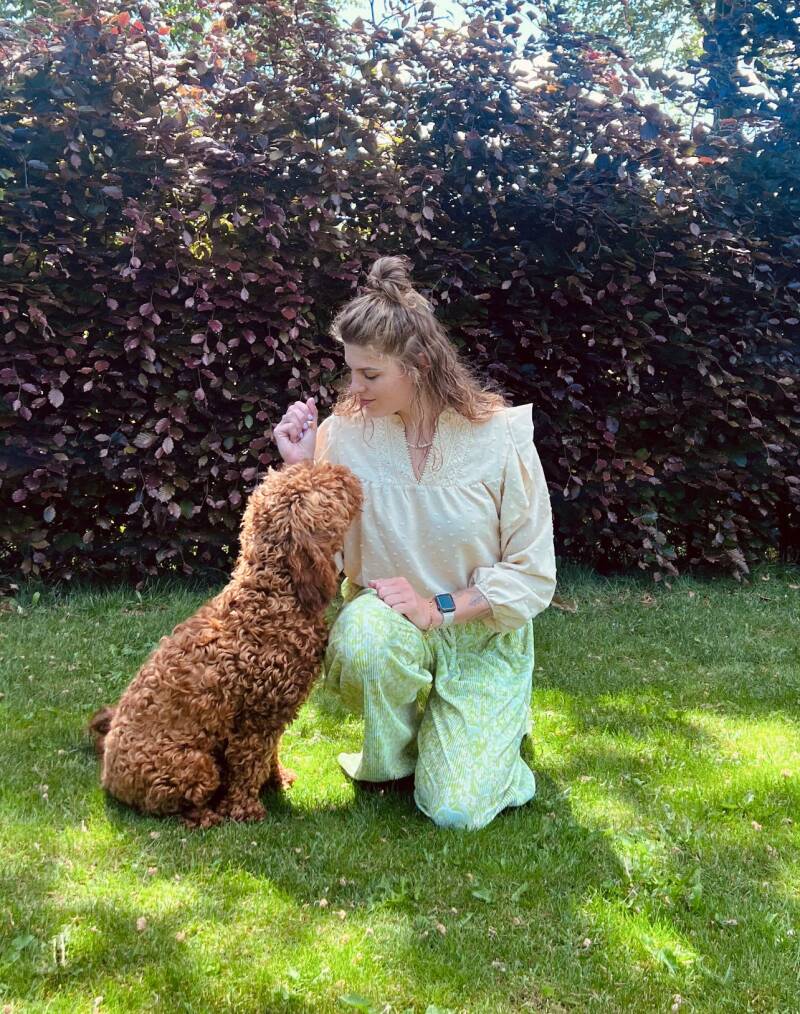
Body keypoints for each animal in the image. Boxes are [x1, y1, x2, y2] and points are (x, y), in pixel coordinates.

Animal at [89, 460, 362, 828]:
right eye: (328, 485)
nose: (344, 470)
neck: (271, 594)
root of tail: (108, 777)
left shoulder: (272, 718)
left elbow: (270, 754)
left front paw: (277, 781)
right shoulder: (253, 721)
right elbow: (248, 766)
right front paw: (246, 810)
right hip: (193, 764)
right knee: (179, 804)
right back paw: (208, 816)